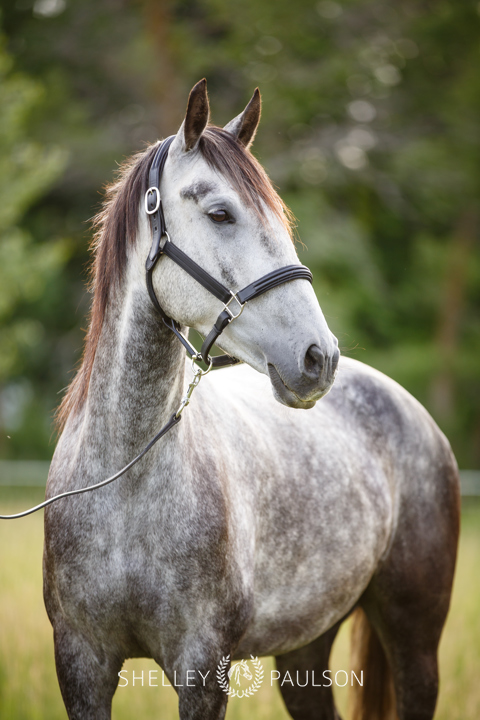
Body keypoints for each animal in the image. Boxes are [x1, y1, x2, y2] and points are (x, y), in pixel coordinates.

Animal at [43, 80, 460, 720]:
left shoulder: (202, 668)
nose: (318, 358)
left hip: (415, 641)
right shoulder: (81, 663)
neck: (124, 483)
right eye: (220, 213)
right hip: (304, 652)